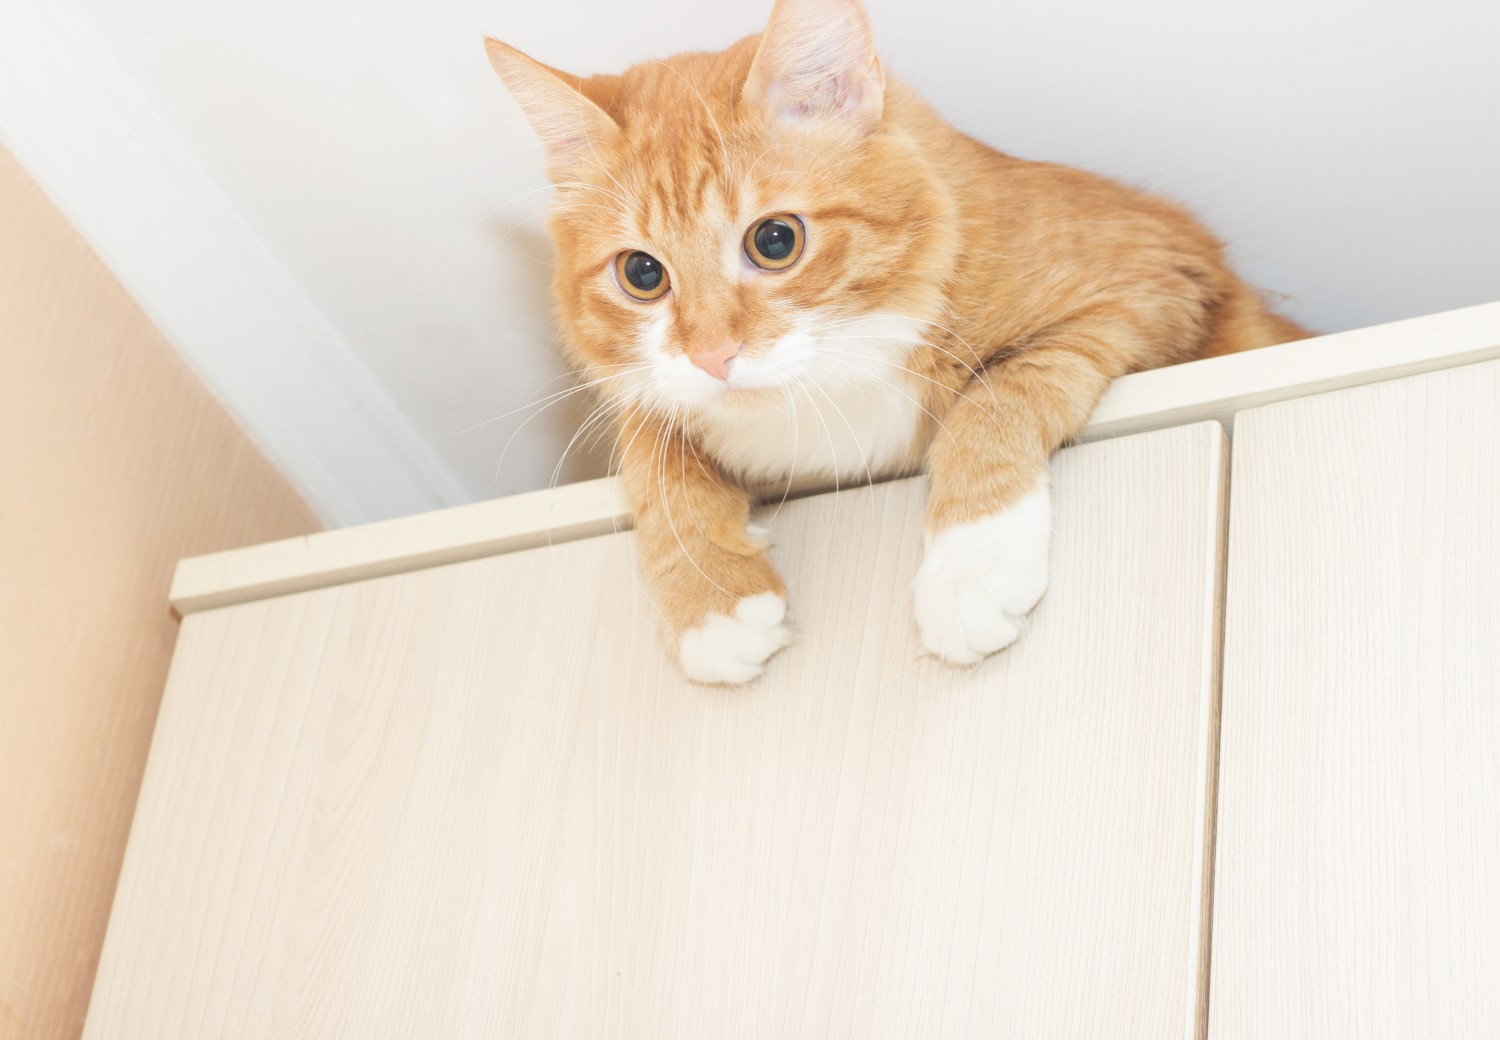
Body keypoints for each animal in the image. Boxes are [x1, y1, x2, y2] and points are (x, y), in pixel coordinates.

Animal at [486, 0, 1308, 681]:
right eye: (642, 274)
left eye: (775, 241)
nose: (713, 356)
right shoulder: (658, 408)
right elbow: (655, 464)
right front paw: (712, 601)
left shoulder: (1151, 282)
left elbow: (993, 398)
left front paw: (972, 561)